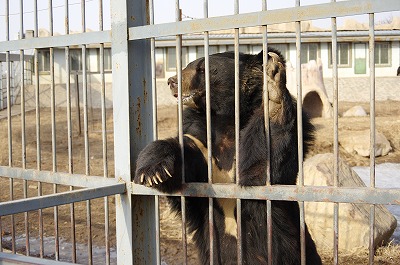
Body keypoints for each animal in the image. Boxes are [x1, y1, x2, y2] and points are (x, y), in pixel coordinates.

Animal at [134, 48, 322, 262]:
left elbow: (261, 169)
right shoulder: (201, 141)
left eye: (202, 69)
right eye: (187, 65)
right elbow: (180, 158)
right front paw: (152, 173)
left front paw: (273, 90)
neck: (226, 121)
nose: (172, 81)